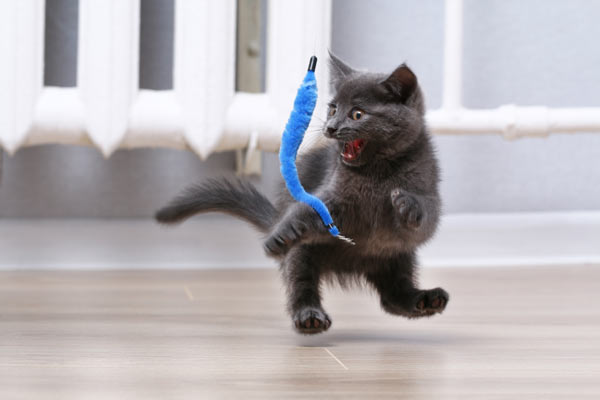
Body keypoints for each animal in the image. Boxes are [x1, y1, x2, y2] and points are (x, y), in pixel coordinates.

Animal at [157, 53, 448, 334]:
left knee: (393, 295)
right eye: (333, 108)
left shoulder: (428, 190)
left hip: (400, 253)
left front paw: (405, 203)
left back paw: (426, 299)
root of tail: (352, 263)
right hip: (304, 253)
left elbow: (426, 218)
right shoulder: (331, 195)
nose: (331, 127)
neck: (376, 173)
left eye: (357, 114)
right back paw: (309, 316)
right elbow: (307, 211)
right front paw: (281, 235)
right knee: (301, 279)